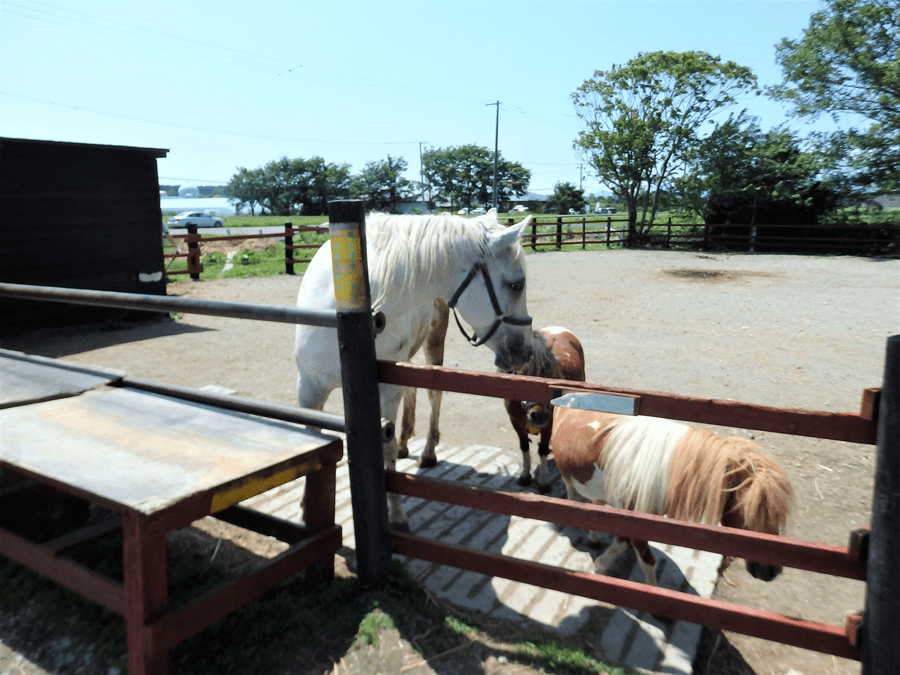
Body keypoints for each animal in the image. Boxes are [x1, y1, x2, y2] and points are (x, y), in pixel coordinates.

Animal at [296, 210, 536, 528]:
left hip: (433, 343)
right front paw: (306, 510)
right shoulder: (309, 391)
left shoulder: (384, 391)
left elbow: (384, 447)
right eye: (516, 285)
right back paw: (405, 441)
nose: (525, 352)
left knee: (434, 395)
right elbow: (312, 445)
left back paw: (428, 452)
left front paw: (396, 514)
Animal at [502, 328, 588, 492]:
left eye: (553, 379)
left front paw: (543, 482)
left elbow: (541, 449)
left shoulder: (549, 424)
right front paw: (524, 475)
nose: (539, 416)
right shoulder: (514, 421)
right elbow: (524, 446)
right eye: (525, 380)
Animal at [552, 406, 792, 588]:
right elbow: (647, 562)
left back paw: (593, 537)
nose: (772, 570)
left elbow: (621, 544)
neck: (663, 472)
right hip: (568, 475)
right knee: (571, 491)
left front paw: (601, 563)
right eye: (749, 510)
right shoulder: (634, 521)